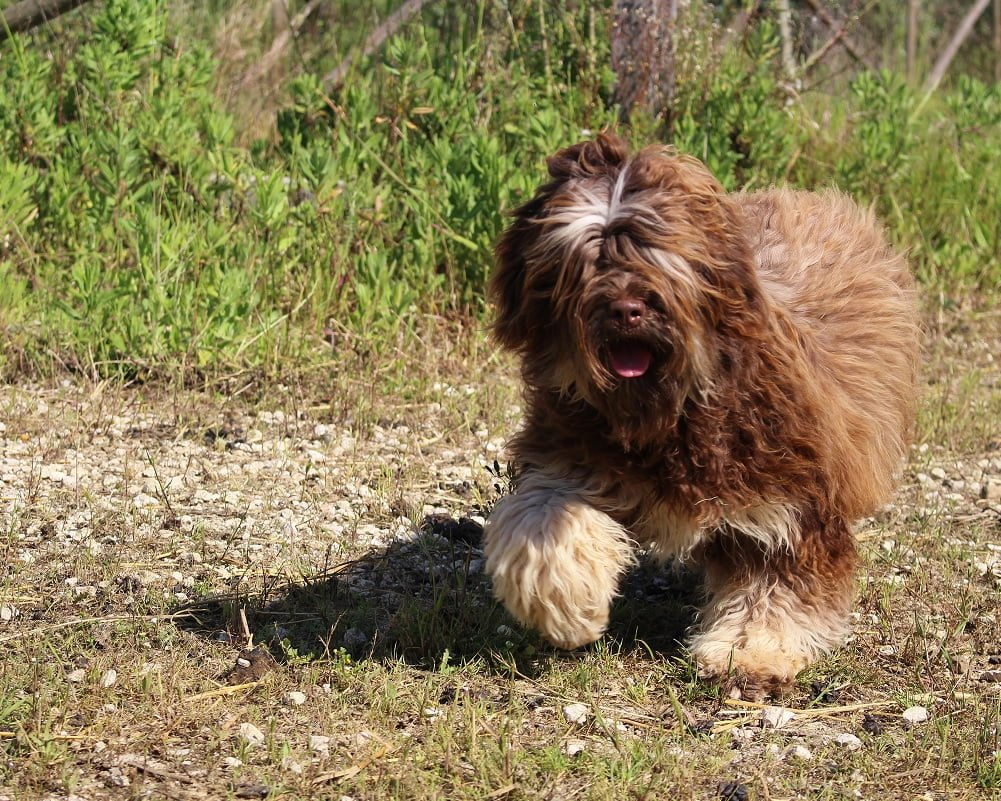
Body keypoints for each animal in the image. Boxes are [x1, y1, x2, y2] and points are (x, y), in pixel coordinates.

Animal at [480, 131, 916, 692]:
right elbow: (541, 521)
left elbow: (778, 580)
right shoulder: (570, 453)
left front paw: (754, 649)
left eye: (654, 250)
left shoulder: (786, 499)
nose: (627, 309)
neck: (670, 414)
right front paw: (566, 608)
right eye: (587, 258)